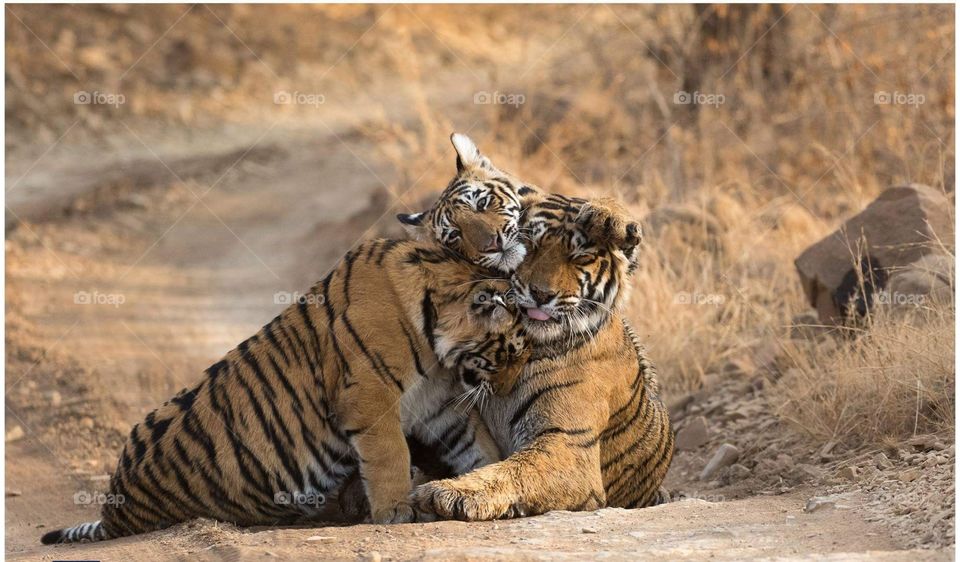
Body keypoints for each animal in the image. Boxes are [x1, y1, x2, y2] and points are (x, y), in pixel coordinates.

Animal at [41, 237, 528, 544]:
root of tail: (114, 511)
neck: (434, 346)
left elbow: (477, 445)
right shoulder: (369, 398)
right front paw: (396, 511)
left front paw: (485, 482)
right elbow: (389, 456)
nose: (506, 390)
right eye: (506, 354)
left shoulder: (439, 405)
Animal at [408, 187, 672, 516]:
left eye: (581, 257)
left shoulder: (568, 443)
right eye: (529, 246)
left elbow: (516, 469)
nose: (541, 295)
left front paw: (448, 492)